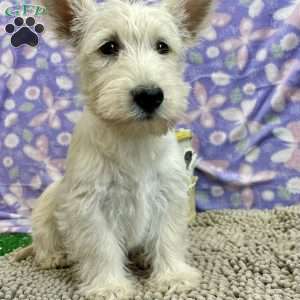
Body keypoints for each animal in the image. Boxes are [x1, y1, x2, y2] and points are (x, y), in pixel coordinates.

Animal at [15, 1, 213, 298]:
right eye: (108, 47)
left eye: (162, 46)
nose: (149, 96)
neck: (133, 138)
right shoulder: (90, 205)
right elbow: (101, 248)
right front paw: (109, 286)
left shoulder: (168, 195)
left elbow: (167, 237)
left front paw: (173, 276)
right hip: (45, 206)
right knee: (43, 239)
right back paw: (54, 256)